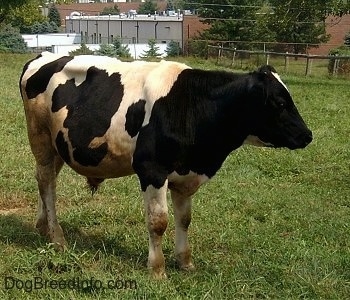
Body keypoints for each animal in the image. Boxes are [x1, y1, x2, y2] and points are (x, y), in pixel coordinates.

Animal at [19, 52, 312, 278]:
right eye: (280, 102)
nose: (307, 135)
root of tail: (44, 56)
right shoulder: (152, 171)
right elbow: (158, 221)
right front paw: (157, 269)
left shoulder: (185, 177)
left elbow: (185, 219)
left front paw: (185, 262)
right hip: (40, 137)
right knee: (47, 183)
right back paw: (57, 237)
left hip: (59, 146)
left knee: (45, 181)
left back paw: (43, 226)